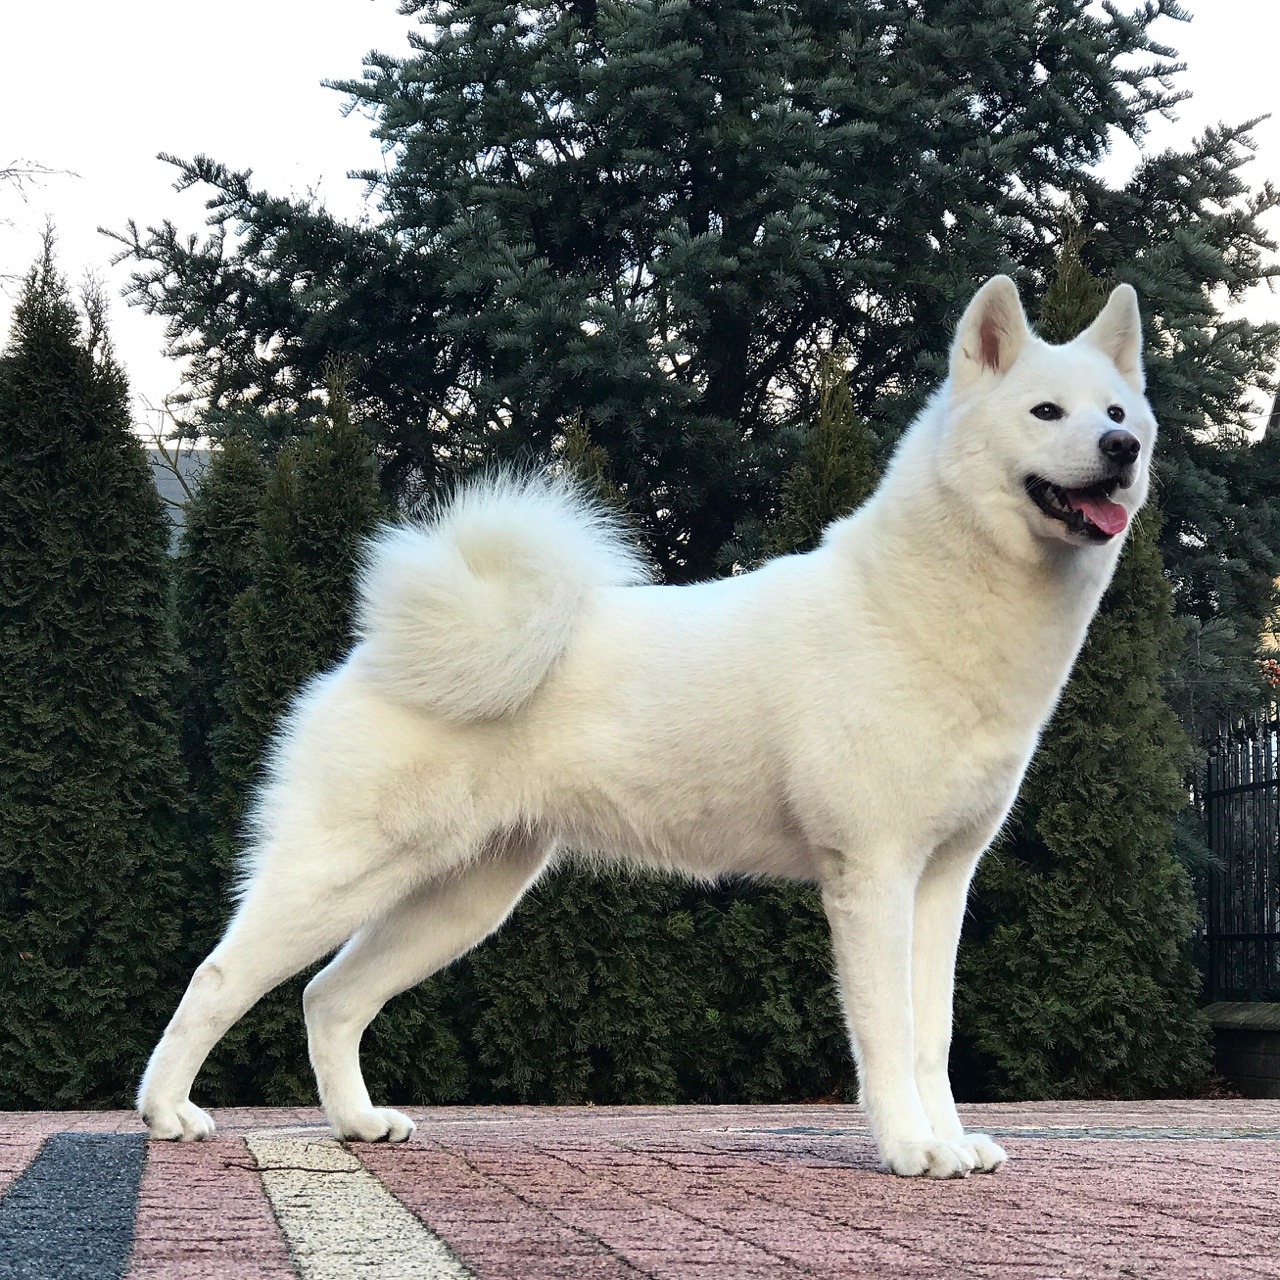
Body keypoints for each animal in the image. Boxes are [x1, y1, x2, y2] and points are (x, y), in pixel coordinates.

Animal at [137, 277, 1152, 1177]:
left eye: (1118, 411)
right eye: (1047, 412)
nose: (1122, 447)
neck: (918, 609)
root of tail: (380, 646)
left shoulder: (941, 882)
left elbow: (931, 1035)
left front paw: (950, 1141)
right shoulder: (872, 874)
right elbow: (889, 1033)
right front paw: (910, 1149)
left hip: (460, 899)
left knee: (330, 999)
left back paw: (356, 1124)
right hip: (340, 872)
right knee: (221, 979)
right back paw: (167, 1114)